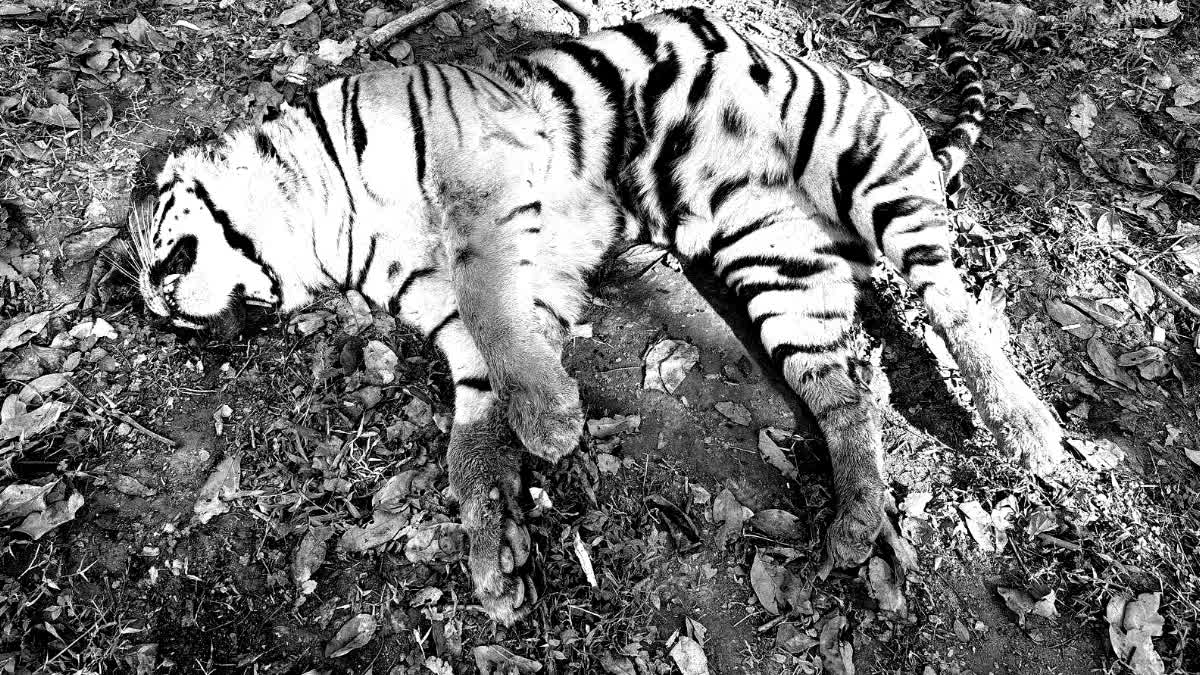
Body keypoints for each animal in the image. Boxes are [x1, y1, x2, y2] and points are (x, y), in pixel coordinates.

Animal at [129, 7, 1065, 625]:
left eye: (167, 258)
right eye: (166, 315)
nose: (171, 311)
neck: (330, 223)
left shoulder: (478, 188)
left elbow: (492, 313)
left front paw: (548, 425)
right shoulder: (472, 302)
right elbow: (476, 411)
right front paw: (495, 548)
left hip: (864, 172)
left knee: (957, 306)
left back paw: (1029, 431)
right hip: (779, 269)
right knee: (847, 391)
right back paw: (856, 524)